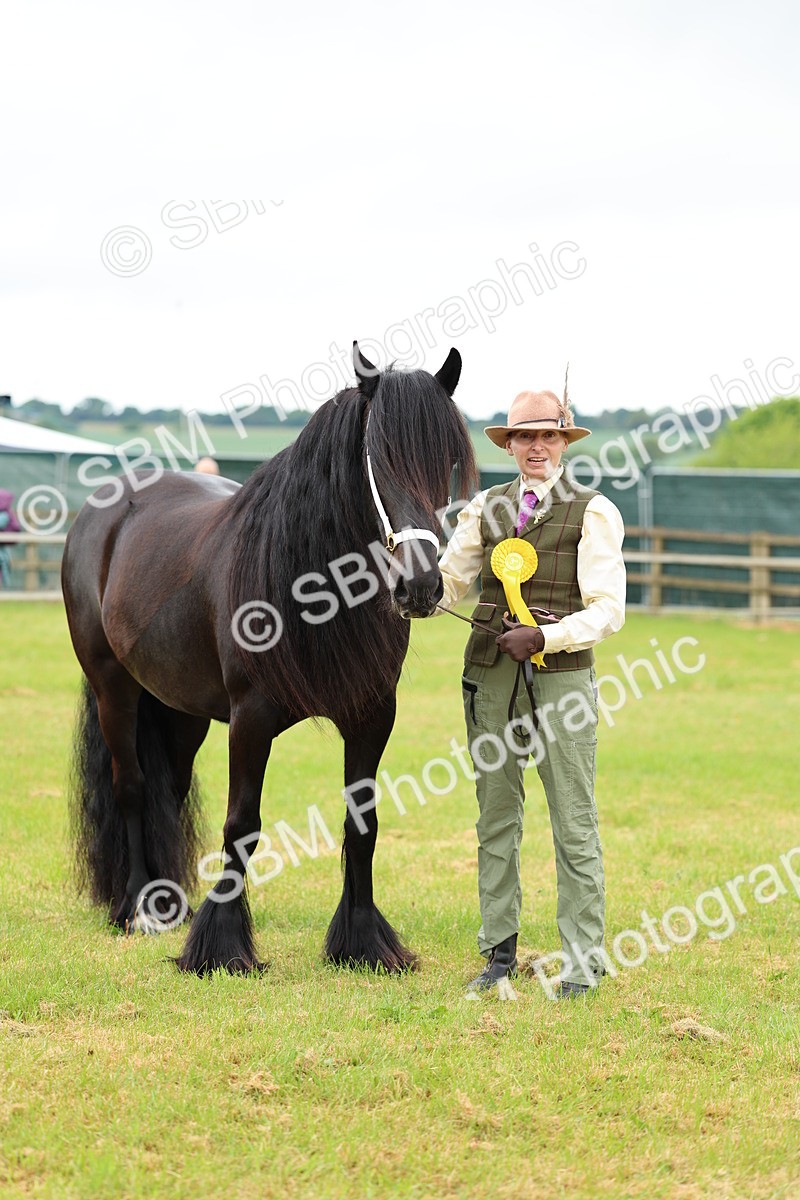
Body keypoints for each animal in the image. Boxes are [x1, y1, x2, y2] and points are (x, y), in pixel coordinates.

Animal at [62, 344, 478, 975]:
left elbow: (362, 824)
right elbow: (242, 825)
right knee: (130, 786)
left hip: (181, 710)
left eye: (448, 463)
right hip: (115, 687)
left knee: (168, 792)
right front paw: (221, 948)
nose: (421, 586)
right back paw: (138, 909)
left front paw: (363, 943)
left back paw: (170, 902)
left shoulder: (372, 717)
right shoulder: (251, 720)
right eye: (376, 459)